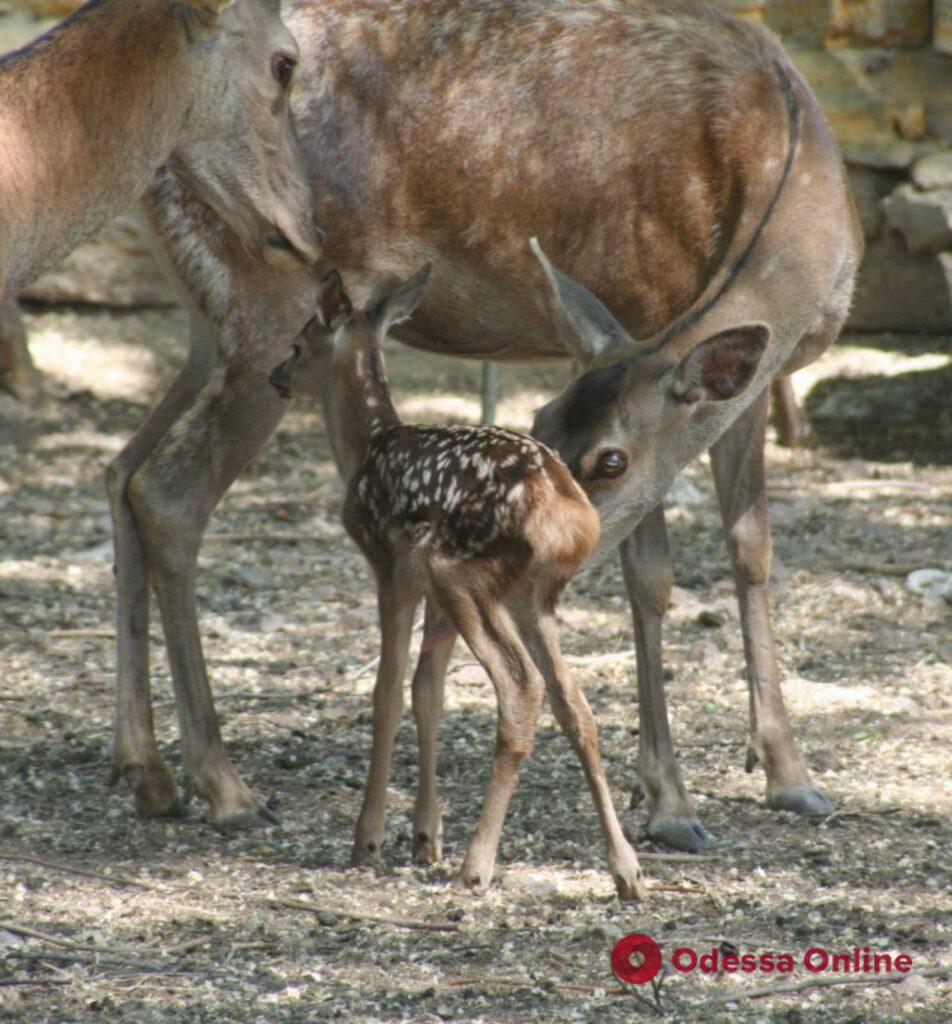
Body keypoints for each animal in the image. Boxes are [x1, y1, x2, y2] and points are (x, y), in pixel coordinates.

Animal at [111, 2, 859, 847]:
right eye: (541, 421)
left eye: (603, 456)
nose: (536, 540)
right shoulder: (641, 298)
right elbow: (652, 576)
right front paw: (670, 803)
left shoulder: (758, 379)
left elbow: (752, 550)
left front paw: (791, 774)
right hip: (261, 305)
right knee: (172, 494)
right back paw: (224, 784)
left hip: (209, 323)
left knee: (123, 469)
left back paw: (147, 771)